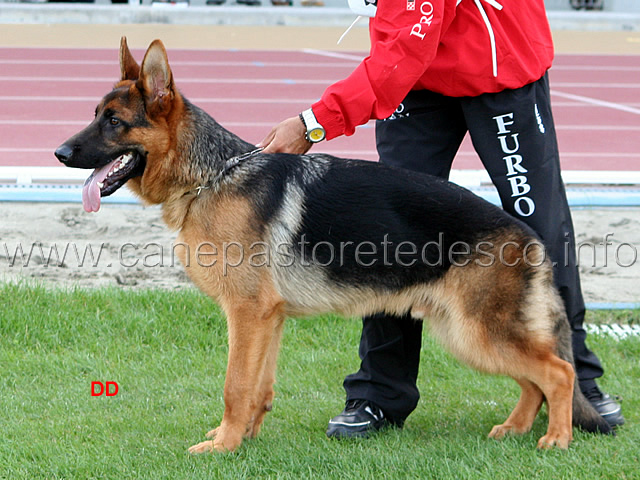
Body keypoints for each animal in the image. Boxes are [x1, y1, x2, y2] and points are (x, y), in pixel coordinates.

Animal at [55, 38, 608, 454]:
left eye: (114, 122)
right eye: (96, 114)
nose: (59, 152)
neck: (212, 175)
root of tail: (529, 235)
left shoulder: (246, 314)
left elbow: (235, 385)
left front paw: (222, 446)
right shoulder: (267, 318)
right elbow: (258, 387)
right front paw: (244, 438)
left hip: (477, 333)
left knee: (558, 372)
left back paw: (557, 439)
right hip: (469, 334)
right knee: (533, 379)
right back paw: (515, 428)